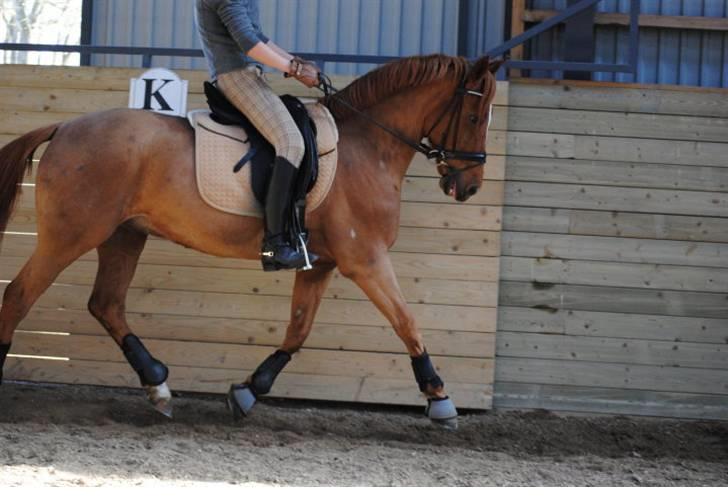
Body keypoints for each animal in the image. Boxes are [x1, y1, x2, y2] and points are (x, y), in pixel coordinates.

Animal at [0, 54, 500, 428]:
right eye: (475, 115)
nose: (469, 186)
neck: (365, 146)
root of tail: (64, 127)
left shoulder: (320, 263)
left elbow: (297, 332)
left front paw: (247, 392)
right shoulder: (367, 259)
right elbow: (406, 321)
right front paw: (439, 397)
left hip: (124, 235)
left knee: (106, 304)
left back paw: (158, 385)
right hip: (72, 234)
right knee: (19, 295)